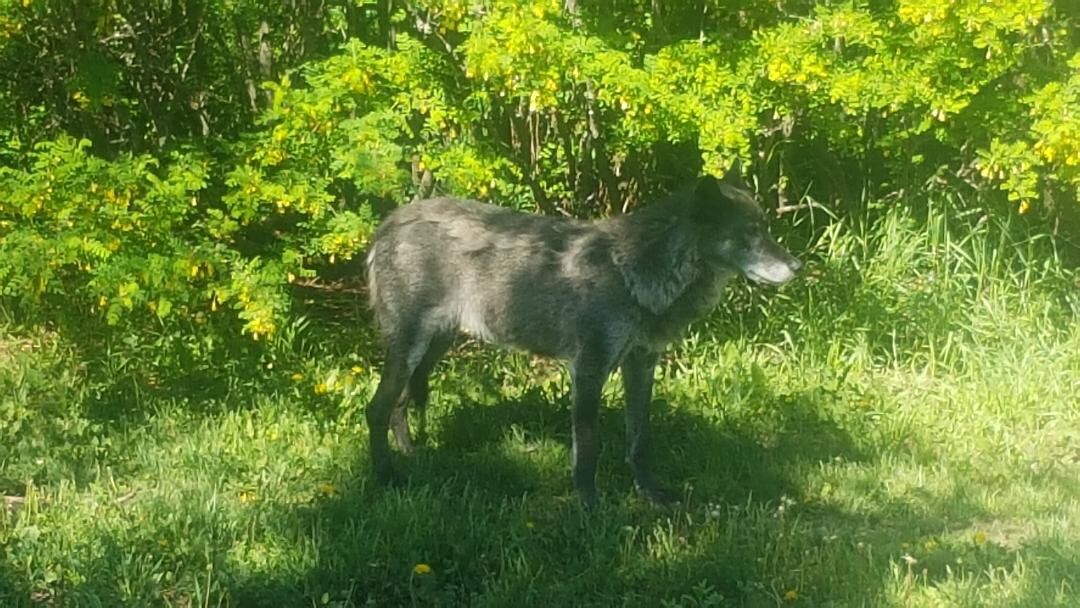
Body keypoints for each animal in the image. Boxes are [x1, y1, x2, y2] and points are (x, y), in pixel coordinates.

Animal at [367, 168, 799, 507]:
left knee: (399, 405)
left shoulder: (641, 364)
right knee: (376, 409)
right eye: (750, 233)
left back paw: (412, 457)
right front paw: (590, 508)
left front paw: (653, 496)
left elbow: (640, 441)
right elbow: (588, 449)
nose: (798, 265)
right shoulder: (589, 369)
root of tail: (389, 223)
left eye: (766, 229)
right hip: (411, 350)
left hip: (431, 348)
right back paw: (387, 479)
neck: (631, 271)